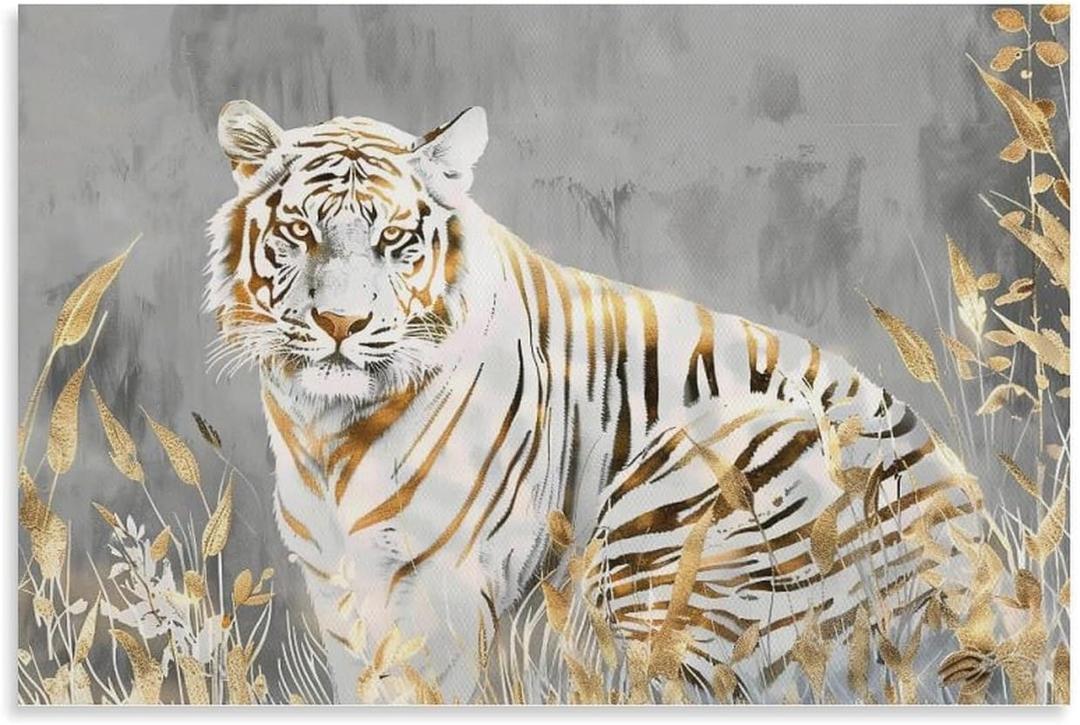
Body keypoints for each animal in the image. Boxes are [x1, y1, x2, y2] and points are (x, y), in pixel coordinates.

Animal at [205, 100, 983, 703]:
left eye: (393, 239)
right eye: (300, 231)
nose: (340, 323)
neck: (327, 431)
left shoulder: (444, 582)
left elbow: (424, 689)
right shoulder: (338, 585)